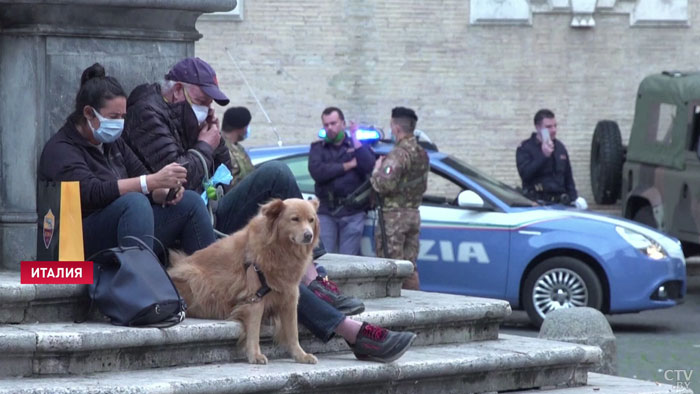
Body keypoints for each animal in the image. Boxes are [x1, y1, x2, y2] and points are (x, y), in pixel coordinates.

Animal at [168, 199, 322, 364]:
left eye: (311, 220)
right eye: (295, 219)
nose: (308, 235)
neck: (280, 249)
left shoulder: (290, 295)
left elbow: (293, 332)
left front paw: (300, 355)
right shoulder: (255, 297)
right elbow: (254, 329)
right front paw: (255, 355)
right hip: (194, 277)